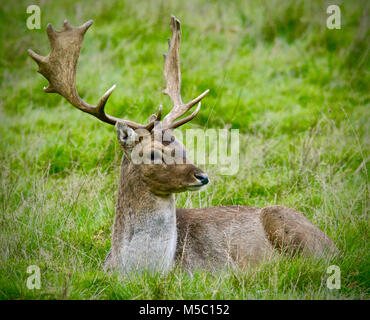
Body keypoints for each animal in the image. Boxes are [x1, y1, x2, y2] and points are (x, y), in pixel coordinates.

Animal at [27, 15, 336, 276]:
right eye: (153, 154)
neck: (140, 271)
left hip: (287, 224)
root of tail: (334, 245)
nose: (202, 176)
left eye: (184, 147)